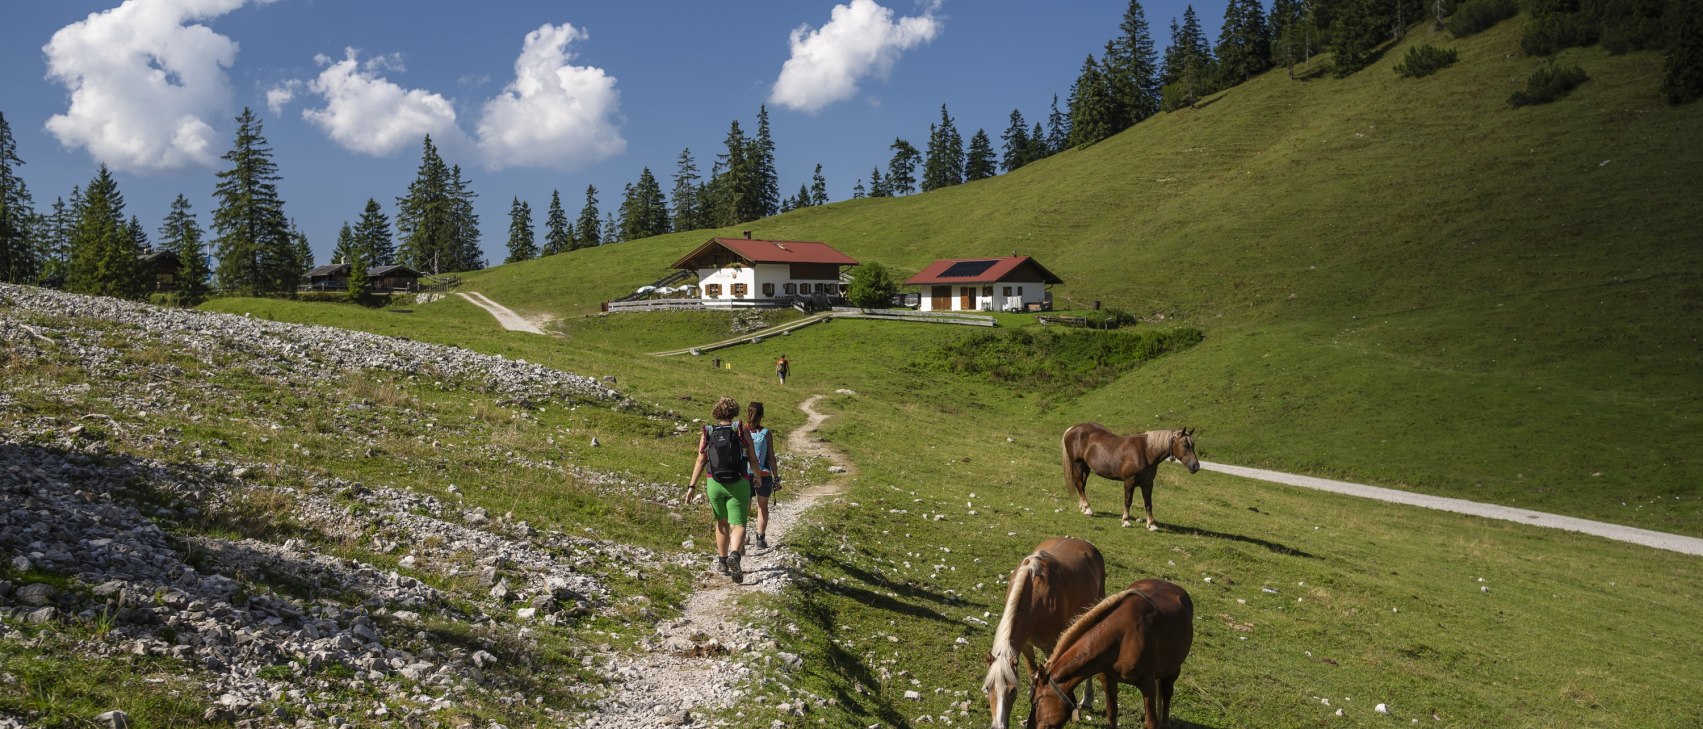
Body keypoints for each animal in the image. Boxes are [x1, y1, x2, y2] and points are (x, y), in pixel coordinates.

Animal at [980, 534, 1110, 729]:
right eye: (988, 688)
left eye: (1012, 690)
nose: (999, 726)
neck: (1035, 595)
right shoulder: (1025, 646)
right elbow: (1033, 674)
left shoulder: (1051, 647)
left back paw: (1087, 699)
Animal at [1021, 582, 1198, 729]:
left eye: (1035, 703)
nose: (1029, 727)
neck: (1123, 637)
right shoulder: (1108, 678)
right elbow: (1112, 713)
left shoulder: (1147, 684)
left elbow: (1151, 723)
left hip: (1173, 669)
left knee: (1167, 694)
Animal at [1055, 420, 1205, 528]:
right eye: (1185, 445)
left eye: (1193, 445)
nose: (1195, 466)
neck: (1146, 452)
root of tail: (1073, 428)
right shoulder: (1129, 481)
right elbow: (1128, 501)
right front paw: (1126, 521)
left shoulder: (1148, 484)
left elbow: (1148, 503)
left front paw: (1151, 524)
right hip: (1078, 464)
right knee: (1079, 484)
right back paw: (1087, 509)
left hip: (1086, 467)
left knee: (1082, 485)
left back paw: (1083, 507)